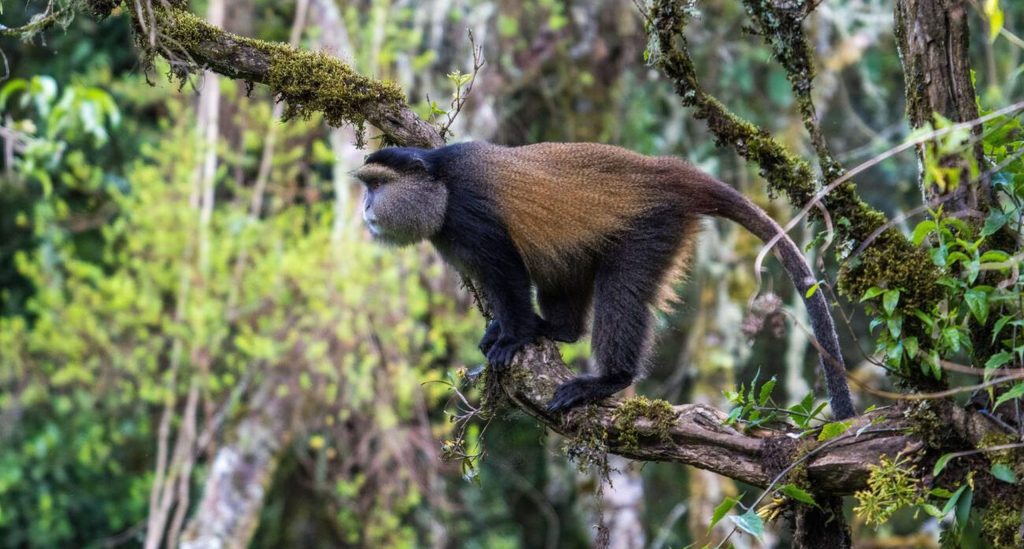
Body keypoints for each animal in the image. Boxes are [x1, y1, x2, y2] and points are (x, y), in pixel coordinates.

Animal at [354, 141, 856, 420]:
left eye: (376, 185)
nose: (365, 209)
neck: (440, 181)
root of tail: (670, 170)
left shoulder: (470, 217)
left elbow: (507, 273)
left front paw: (513, 337)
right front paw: (508, 330)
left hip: (652, 229)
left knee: (623, 293)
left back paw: (609, 379)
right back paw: (558, 329)